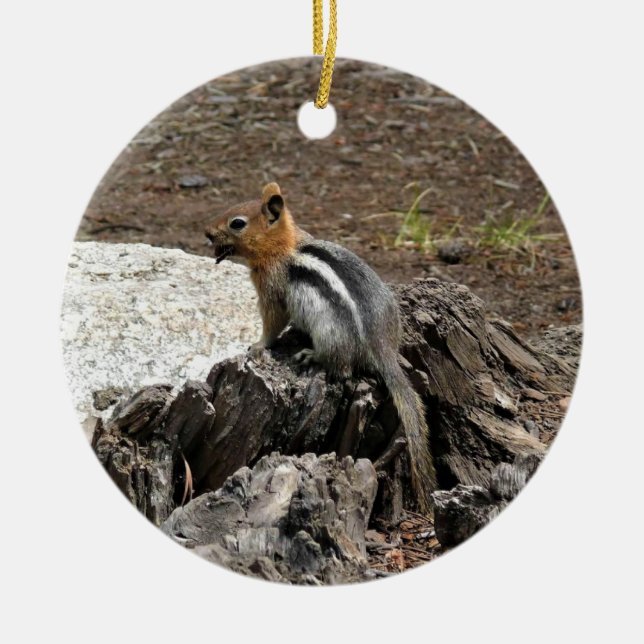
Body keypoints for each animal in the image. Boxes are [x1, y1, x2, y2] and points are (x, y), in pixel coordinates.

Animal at [205, 183, 437, 512]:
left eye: (237, 223)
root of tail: (383, 347)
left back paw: (311, 354)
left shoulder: (272, 290)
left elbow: (273, 322)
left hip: (331, 334)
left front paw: (258, 345)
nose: (207, 233)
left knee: (343, 368)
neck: (284, 245)